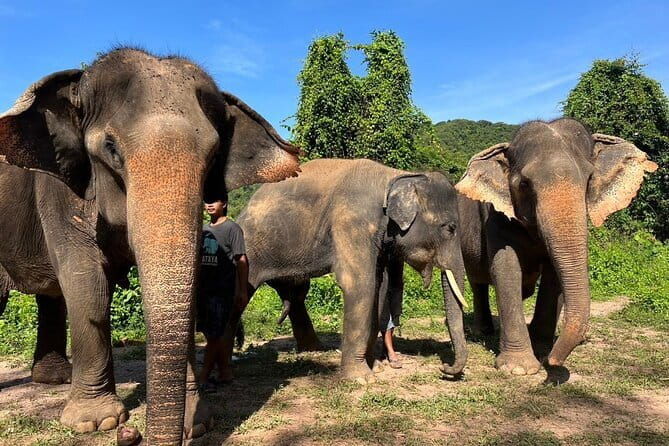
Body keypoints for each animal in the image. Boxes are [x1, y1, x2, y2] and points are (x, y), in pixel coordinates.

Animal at [0, 48, 300, 444]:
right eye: (111, 148)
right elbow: (87, 284)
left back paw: (53, 379)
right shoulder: (59, 189)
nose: (134, 434)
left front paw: (197, 423)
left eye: (214, 154)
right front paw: (95, 423)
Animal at [219, 158, 468, 383]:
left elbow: (378, 287)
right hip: (248, 252)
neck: (395, 175)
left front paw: (374, 368)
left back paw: (313, 350)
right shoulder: (352, 220)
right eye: (450, 228)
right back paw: (224, 373)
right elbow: (360, 285)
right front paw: (361, 379)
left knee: (296, 296)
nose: (445, 368)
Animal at [455, 118, 657, 375]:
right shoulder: (495, 217)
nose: (554, 362)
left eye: (589, 179)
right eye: (524, 184)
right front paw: (518, 369)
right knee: (478, 280)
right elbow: (506, 270)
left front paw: (542, 351)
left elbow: (555, 274)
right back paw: (483, 331)